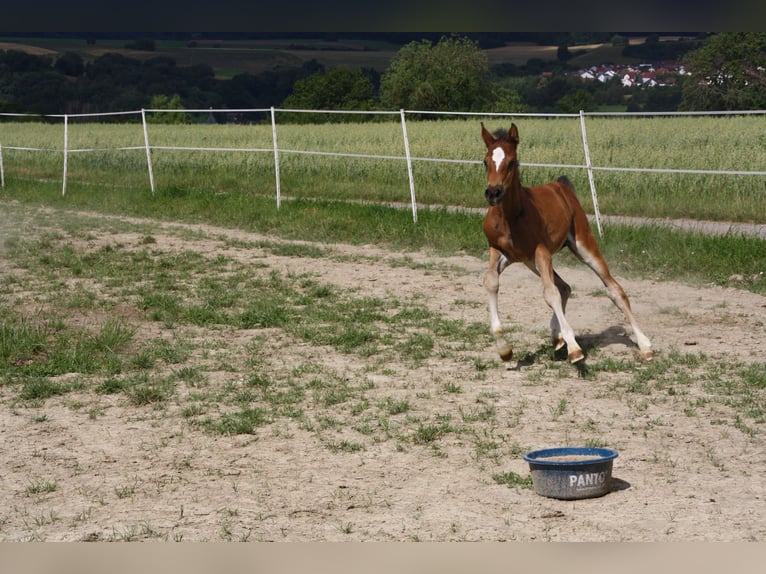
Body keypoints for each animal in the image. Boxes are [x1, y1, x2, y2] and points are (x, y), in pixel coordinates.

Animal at [480, 122, 656, 364]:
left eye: (512, 162)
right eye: (485, 161)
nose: (493, 193)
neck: (511, 217)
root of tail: (560, 185)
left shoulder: (541, 251)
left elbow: (550, 293)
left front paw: (574, 348)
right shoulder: (498, 250)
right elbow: (491, 282)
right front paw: (504, 349)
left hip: (582, 245)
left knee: (614, 290)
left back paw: (644, 344)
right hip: (529, 261)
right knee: (565, 286)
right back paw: (557, 336)